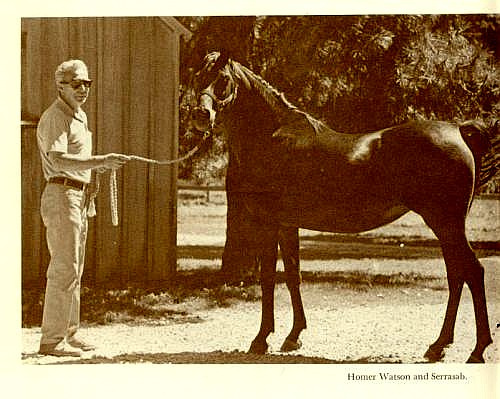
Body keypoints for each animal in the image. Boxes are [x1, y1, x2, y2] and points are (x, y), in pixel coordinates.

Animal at [190, 51, 496, 364]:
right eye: (197, 75)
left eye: (222, 79)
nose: (201, 115)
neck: (271, 137)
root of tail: (458, 130)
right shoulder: (288, 224)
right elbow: (293, 276)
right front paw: (294, 336)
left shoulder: (269, 223)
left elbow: (267, 279)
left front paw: (261, 339)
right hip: (446, 227)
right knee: (457, 275)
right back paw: (439, 345)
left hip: (445, 223)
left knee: (472, 273)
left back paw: (477, 350)